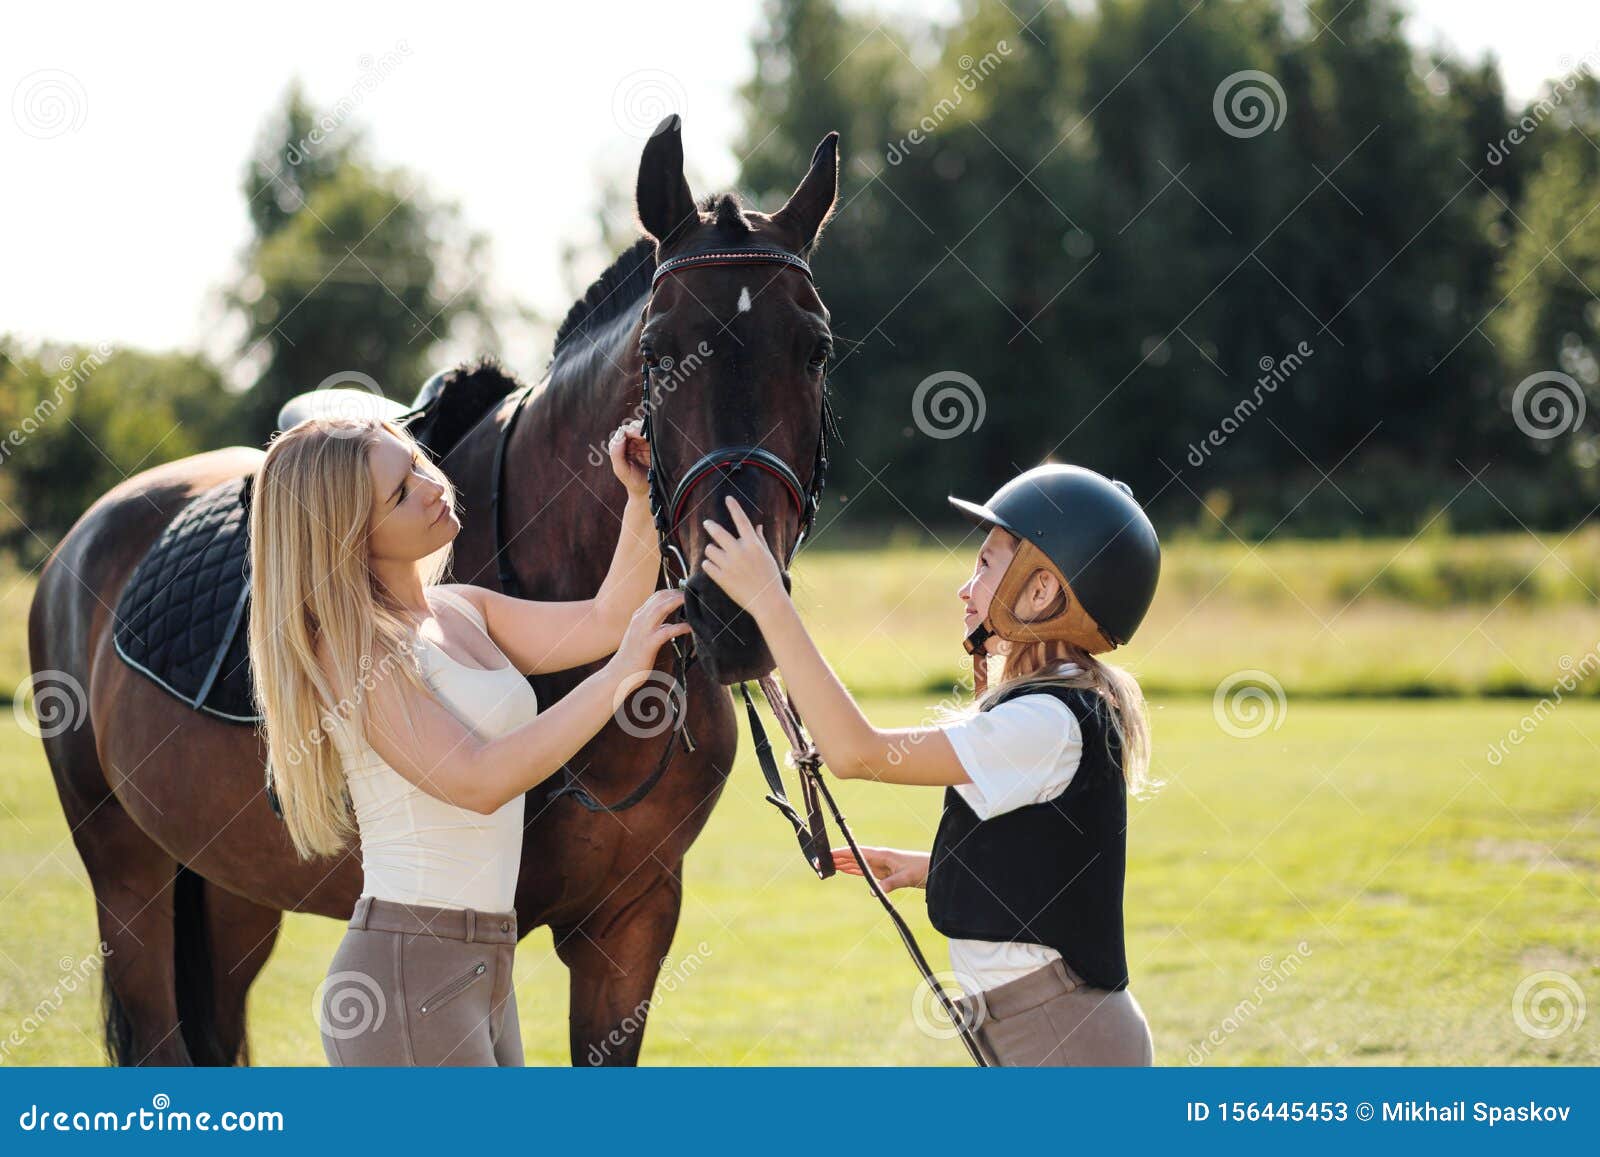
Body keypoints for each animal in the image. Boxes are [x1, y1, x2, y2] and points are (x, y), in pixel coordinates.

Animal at [31, 117, 844, 1068]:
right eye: (658, 353)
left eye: (817, 349)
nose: (736, 611)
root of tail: (88, 536)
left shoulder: (633, 920)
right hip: (130, 880)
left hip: (229, 891)